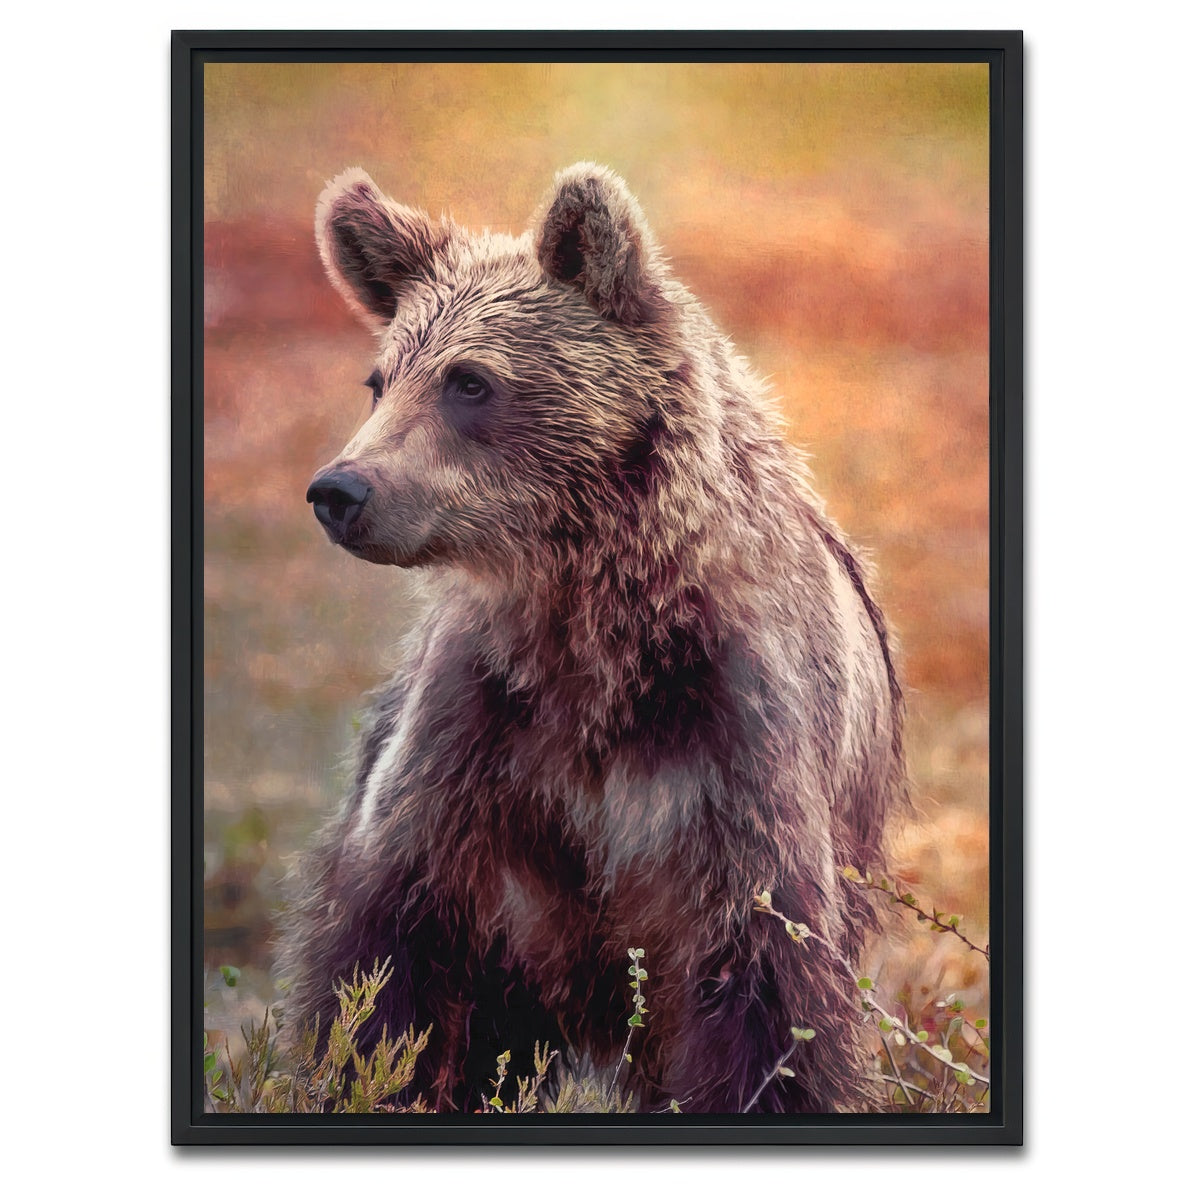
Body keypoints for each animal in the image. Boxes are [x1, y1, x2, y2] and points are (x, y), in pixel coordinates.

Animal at [278, 162, 906, 1114]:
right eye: (380, 380)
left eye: (470, 381)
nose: (341, 490)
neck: (594, 631)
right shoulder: (478, 741)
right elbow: (388, 967)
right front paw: (370, 1072)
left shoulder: (733, 750)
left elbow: (767, 997)